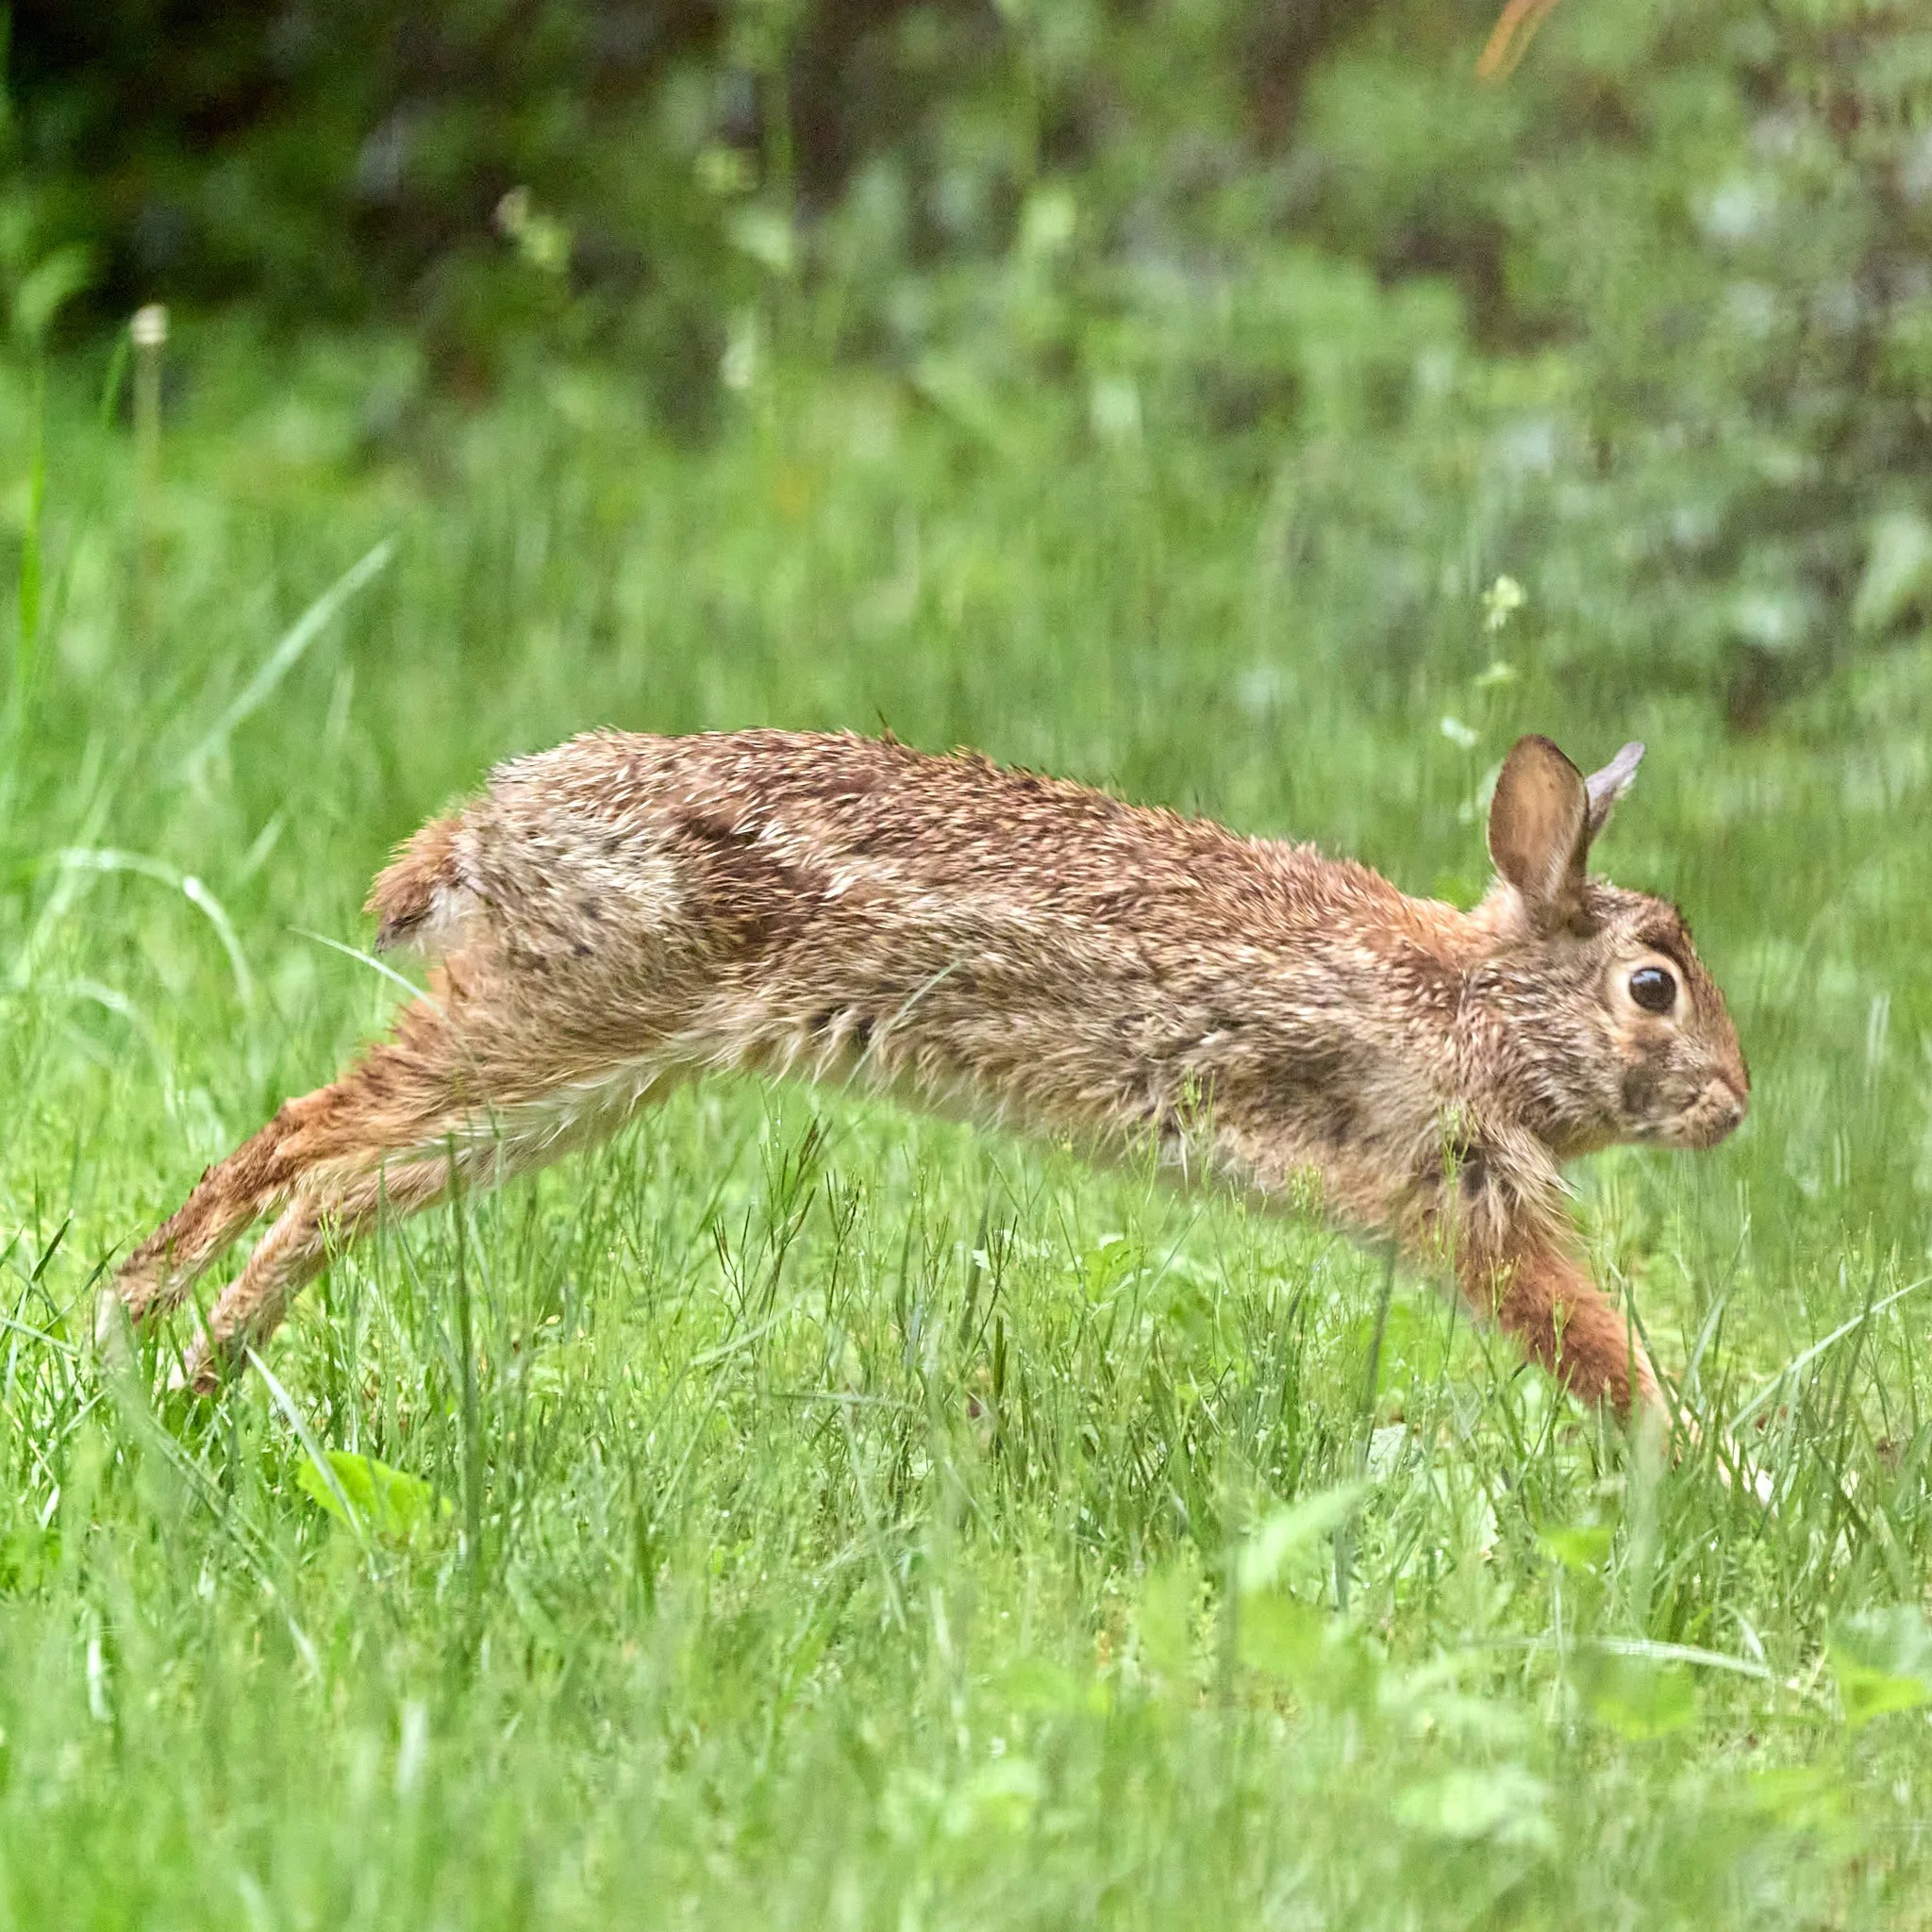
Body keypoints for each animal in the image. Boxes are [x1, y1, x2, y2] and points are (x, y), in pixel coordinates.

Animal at [105, 729, 1749, 1420]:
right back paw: (138, 1310)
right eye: (1652, 987)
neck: (1469, 1003)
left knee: (350, 1183)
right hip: (568, 1011)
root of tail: (487, 830)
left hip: (580, 1069)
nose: (1736, 1106)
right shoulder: (1456, 1184)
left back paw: (191, 1371)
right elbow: (1598, 1349)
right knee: (311, 1138)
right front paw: (1709, 1479)